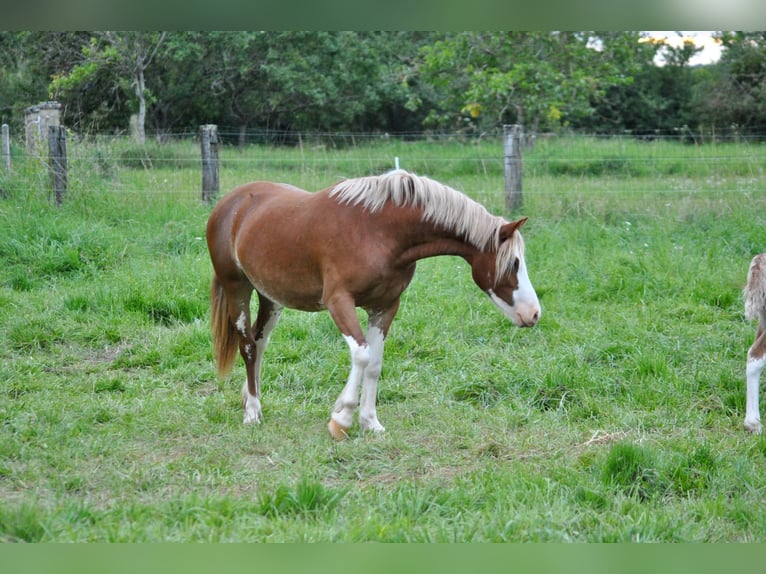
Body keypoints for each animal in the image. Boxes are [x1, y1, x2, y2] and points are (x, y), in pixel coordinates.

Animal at [204, 170, 540, 440]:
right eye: (514, 263)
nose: (534, 314)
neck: (378, 230)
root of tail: (229, 203)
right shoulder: (339, 302)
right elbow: (362, 355)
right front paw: (341, 418)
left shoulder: (385, 307)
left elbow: (375, 364)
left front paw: (369, 422)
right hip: (237, 288)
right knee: (248, 346)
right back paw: (252, 413)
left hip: (271, 298)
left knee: (259, 343)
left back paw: (251, 400)